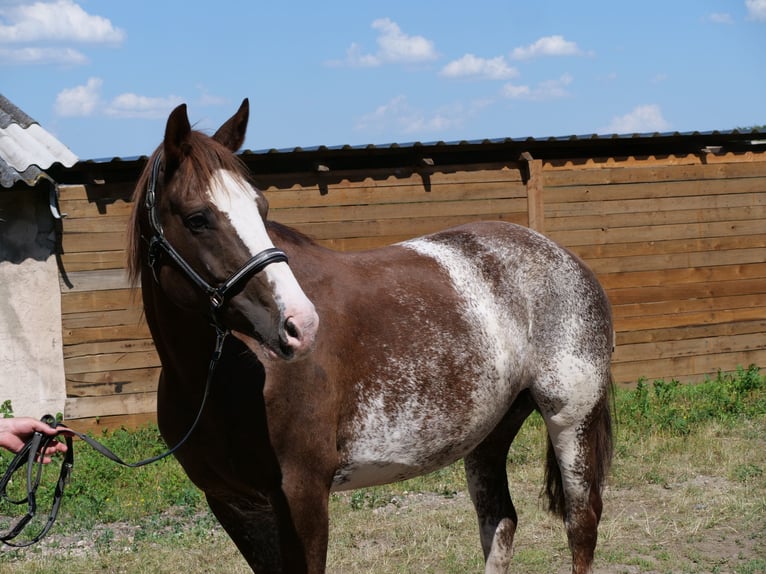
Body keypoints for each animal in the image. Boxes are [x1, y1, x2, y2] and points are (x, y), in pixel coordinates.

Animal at [127, 99, 614, 574]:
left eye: (261, 208)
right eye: (197, 218)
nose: (301, 324)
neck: (225, 377)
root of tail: (561, 254)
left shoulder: (302, 494)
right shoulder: (234, 504)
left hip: (570, 419)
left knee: (581, 523)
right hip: (489, 432)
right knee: (499, 522)